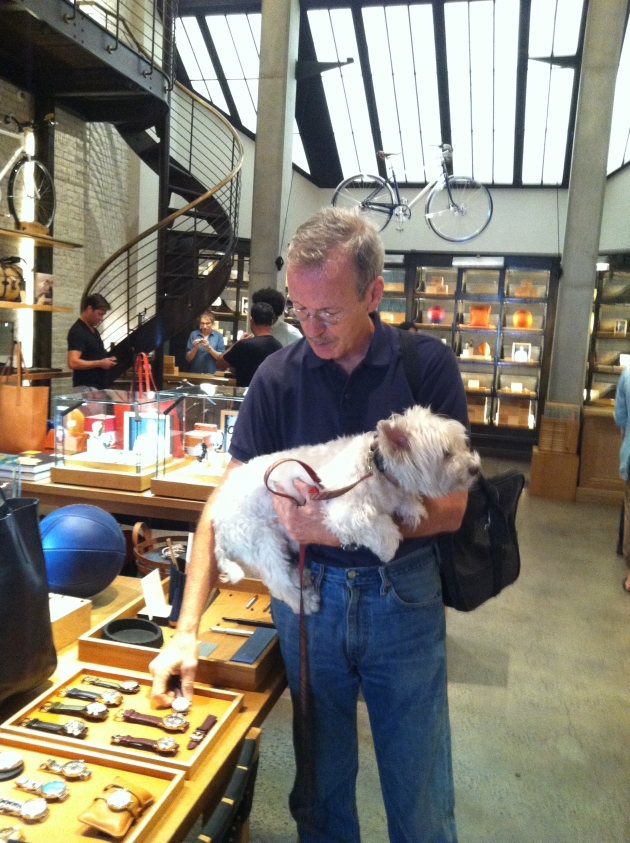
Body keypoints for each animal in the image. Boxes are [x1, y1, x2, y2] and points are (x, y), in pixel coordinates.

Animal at [210, 404, 482, 612]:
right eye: (446, 454)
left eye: (462, 445)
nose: (475, 468)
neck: (377, 466)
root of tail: (218, 519)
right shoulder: (345, 511)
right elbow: (377, 524)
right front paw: (389, 545)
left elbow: (404, 501)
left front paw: (411, 507)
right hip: (264, 542)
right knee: (277, 582)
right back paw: (304, 601)